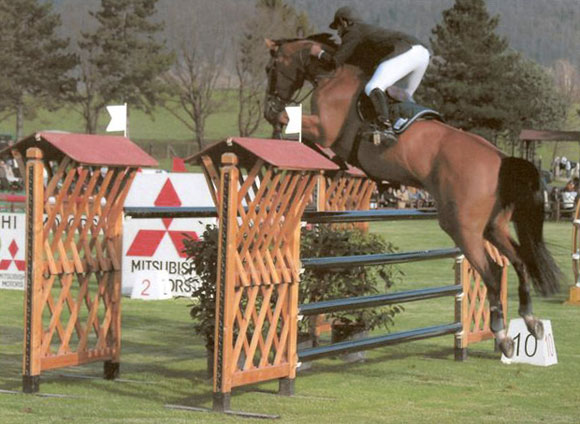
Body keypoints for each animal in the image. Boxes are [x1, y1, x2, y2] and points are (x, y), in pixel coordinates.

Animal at [264, 34, 560, 358]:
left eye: (271, 68)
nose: (271, 100)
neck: (330, 73)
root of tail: (501, 159)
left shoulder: (325, 130)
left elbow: (294, 125)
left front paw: (277, 125)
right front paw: (332, 165)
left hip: (462, 228)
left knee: (492, 273)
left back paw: (503, 336)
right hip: (493, 226)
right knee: (519, 262)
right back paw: (531, 321)